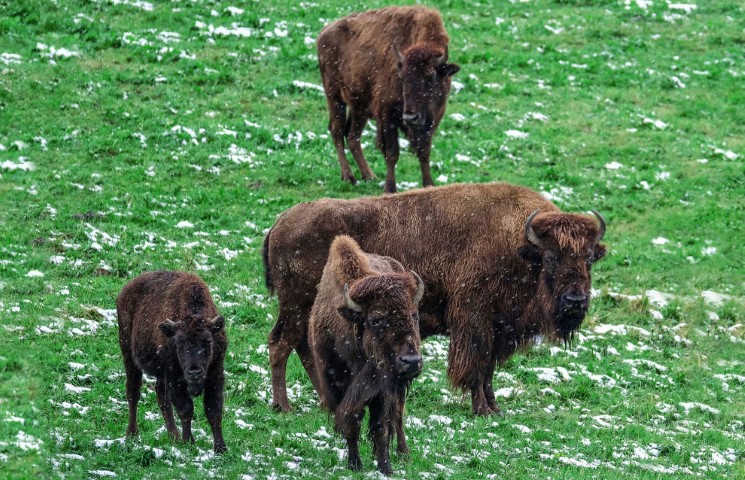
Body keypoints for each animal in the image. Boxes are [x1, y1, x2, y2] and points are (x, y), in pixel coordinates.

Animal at [115, 270, 227, 454]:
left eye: (208, 341)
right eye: (179, 342)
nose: (194, 372)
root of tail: (124, 291)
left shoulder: (215, 374)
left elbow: (214, 411)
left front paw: (221, 448)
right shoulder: (174, 376)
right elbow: (186, 408)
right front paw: (189, 442)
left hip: (160, 373)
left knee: (161, 397)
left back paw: (173, 436)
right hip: (129, 356)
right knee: (133, 393)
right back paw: (132, 434)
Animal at [262, 182, 604, 414]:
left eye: (588, 258)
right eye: (551, 258)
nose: (575, 301)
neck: (519, 245)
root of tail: (280, 222)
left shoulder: (496, 326)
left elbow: (488, 369)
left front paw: (495, 408)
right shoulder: (474, 319)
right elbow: (476, 366)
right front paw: (482, 409)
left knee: (302, 346)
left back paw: (321, 401)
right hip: (295, 307)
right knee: (281, 343)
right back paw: (283, 406)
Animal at [310, 234, 424, 474]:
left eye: (415, 315)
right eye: (376, 319)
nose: (411, 362)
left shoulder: (382, 391)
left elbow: (381, 427)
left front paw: (386, 468)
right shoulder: (337, 388)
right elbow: (351, 422)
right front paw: (354, 465)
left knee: (397, 416)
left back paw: (404, 452)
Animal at [316, 6, 460, 193]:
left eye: (430, 77)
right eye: (403, 78)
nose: (410, 117)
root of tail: (324, 32)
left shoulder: (430, 121)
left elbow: (424, 152)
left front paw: (428, 184)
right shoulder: (387, 117)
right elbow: (392, 153)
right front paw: (390, 188)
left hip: (359, 107)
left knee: (353, 136)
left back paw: (369, 176)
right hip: (334, 96)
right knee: (337, 130)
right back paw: (349, 177)